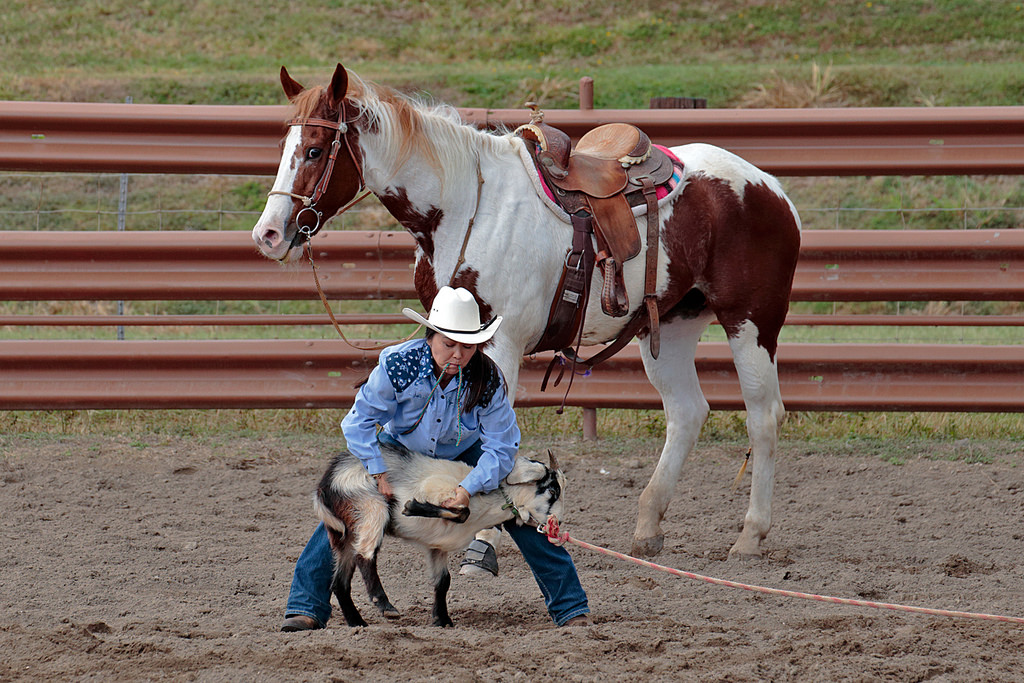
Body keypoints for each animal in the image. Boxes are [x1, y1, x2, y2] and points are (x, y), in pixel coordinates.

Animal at [251, 61, 802, 557]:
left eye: (315, 149)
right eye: (283, 148)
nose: (268, 235)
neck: (464, 207)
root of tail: (770, 187)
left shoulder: (501, 341)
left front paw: (486, 537)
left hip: (751, 321)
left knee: (763, 415)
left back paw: (750, 536)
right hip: (670, 325)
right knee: (687, 412)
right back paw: (648, 528)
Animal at [315, 446, 565, 626]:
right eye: (553, 490)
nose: (558, 523)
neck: (491, 501)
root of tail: (324, 486)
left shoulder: (437, 546)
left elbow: (443, 581)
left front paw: (442, 620)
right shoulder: (437, 488)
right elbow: (462, 512)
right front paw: (411, 507)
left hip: (346, 536)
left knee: (340, 583)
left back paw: (357, 622)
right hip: (372, 508)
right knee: (365, 555)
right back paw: (385, 605)